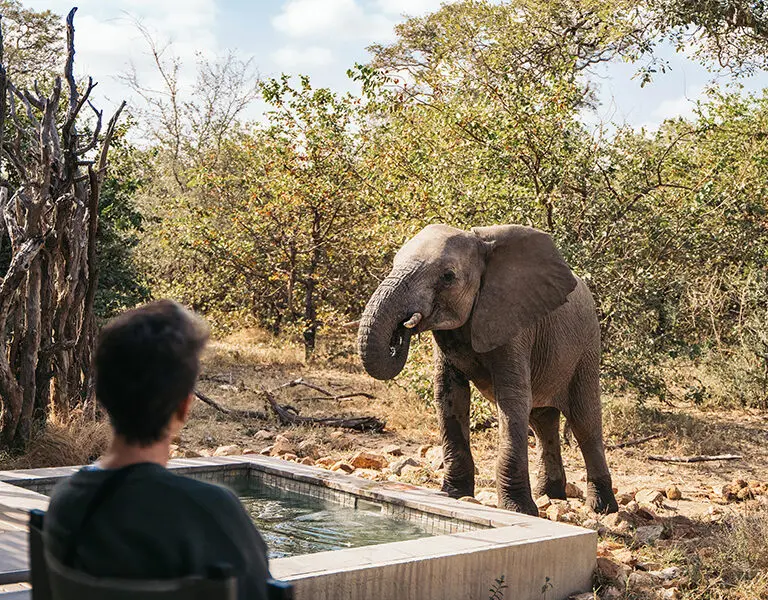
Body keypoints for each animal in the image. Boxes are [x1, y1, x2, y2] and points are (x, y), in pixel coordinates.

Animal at [357, 223, 618, 516]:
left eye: (448, 277)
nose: (402, 329)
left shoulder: (515, 322)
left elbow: (512, 398)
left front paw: (518, 510)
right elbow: (449, 395)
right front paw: (454, 495)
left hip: (586, 348)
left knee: (585, 421)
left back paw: (603, 508)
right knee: (542, 421)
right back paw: (550, 494)